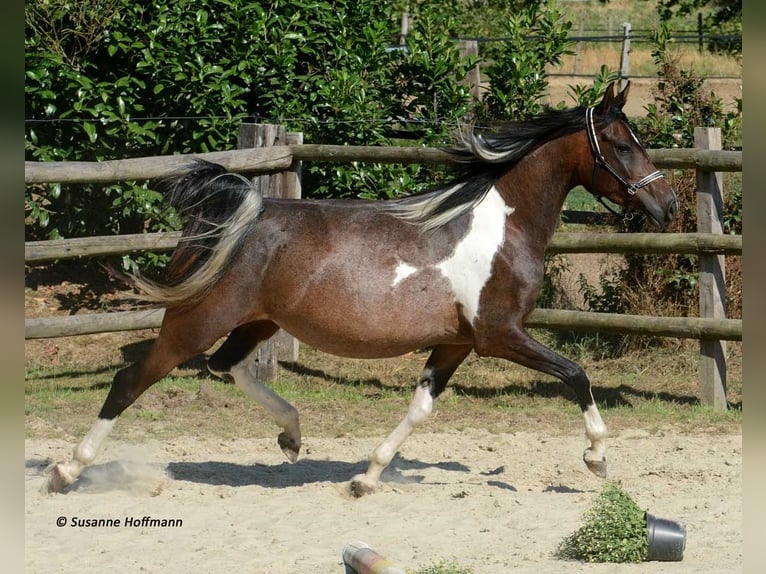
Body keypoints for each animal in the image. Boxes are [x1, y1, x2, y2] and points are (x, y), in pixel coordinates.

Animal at [48, 82, 677, 495]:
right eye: (623, 145)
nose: (667, 205)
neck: (501, 226)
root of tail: (237, 215)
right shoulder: (500, 334)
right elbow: (576, 375)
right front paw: (597, 458)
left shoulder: (457, 341)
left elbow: (421, 407)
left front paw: (368, 476)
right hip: (196, 321)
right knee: (133, 380)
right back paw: (67, 470)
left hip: (257, 320)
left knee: (227, 367)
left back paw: (293, 436)